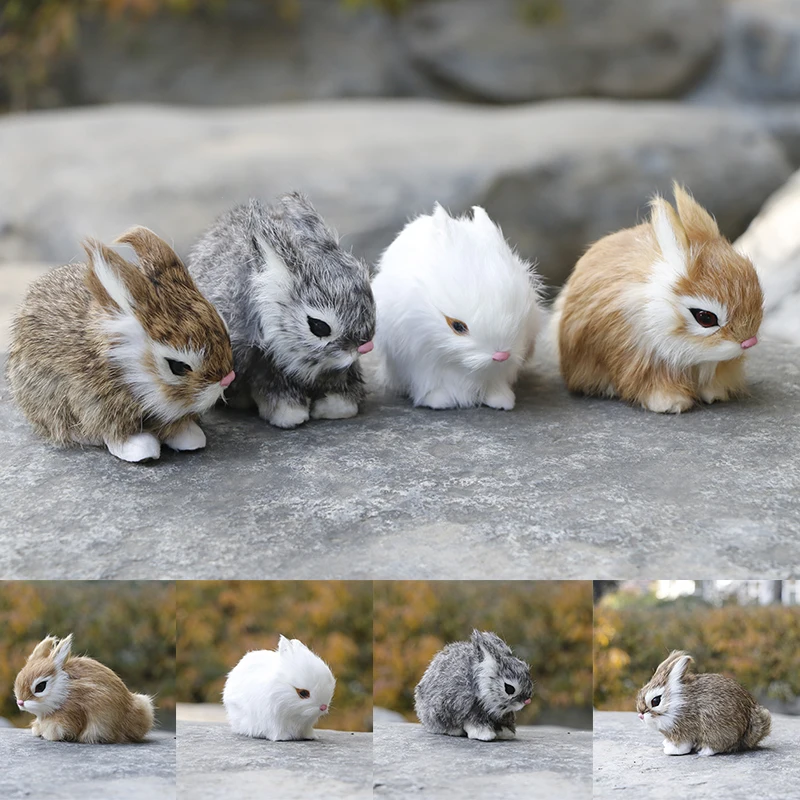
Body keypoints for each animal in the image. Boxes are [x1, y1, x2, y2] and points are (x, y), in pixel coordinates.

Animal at [6, 226, 235, 462]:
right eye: (178, 366)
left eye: (225, 330)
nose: (227, 379)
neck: (128, 369)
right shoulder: (95, 405)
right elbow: (115, 434)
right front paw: (140, 448)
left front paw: (189, 436)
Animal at [371, 204, 543, 410]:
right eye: (458, 326)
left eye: (519, 317)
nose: (501, 356)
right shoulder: (421, 363)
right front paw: (439, 401)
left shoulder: (497, 372)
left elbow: (495, 383)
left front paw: (502, 401)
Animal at [636, 650, 772, 756]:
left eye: (655, 701)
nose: (641, 715)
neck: (675, 703)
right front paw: (666, 744)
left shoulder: (684, 730)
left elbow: (682, 745)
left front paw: (672, 751)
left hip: (716, 728)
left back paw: (704, 751)